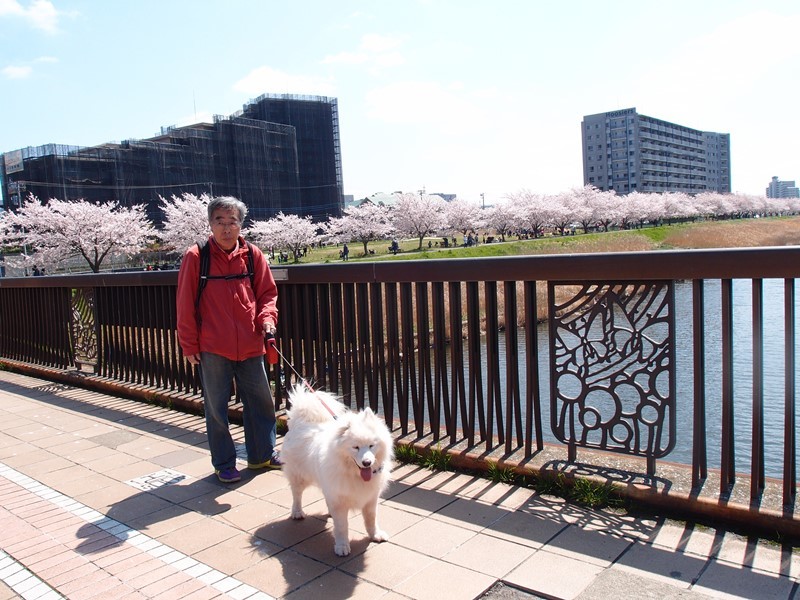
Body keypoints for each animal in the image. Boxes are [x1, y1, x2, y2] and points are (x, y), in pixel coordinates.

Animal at [280, 386, 396, 556]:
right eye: (356, 447)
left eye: (371, 446)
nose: (367, 463)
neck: (354, 474)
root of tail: (301, 422)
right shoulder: (339, 499)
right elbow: (342, 526)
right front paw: (342, 546)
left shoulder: (370, 498)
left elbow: (371, 519)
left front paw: (375, 535)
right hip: (299, 476)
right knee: (297, 495)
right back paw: (297, 513)